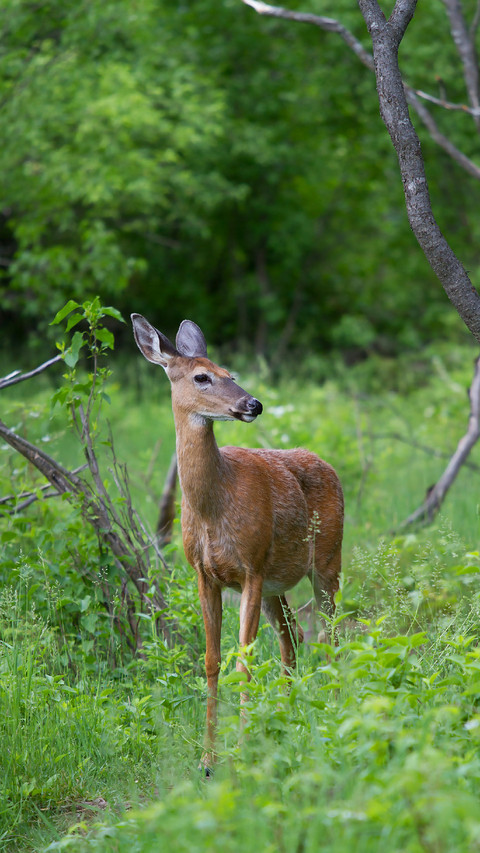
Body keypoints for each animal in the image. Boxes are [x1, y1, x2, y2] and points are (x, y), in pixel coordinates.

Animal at [131, 314, 344, 772]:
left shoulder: (251, 566)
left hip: (326, 560)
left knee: (330, 633)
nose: (254, 404)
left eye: (232, 373)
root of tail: (327, 464)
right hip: (277, 582)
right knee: (292, 637)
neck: (214, 506)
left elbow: (244, 659)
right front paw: (208, 759)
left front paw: (243, 750)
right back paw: (287, 718)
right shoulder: (205, 573)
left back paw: (334, 712)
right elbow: (212, 660)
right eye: (202, 376)